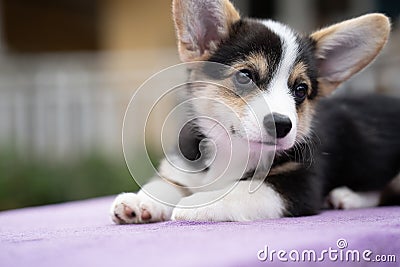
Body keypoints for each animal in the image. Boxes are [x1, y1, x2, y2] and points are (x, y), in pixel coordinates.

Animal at [110, 0, 400, 224]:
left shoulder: (297, 185)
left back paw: (348, 197)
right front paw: (139, 203)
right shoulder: (182, 167)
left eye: (300, 90)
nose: (281, 125)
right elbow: (164, 184)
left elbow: (240, 192)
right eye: (245, 76)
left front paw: (197, 203)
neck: (234, 148)